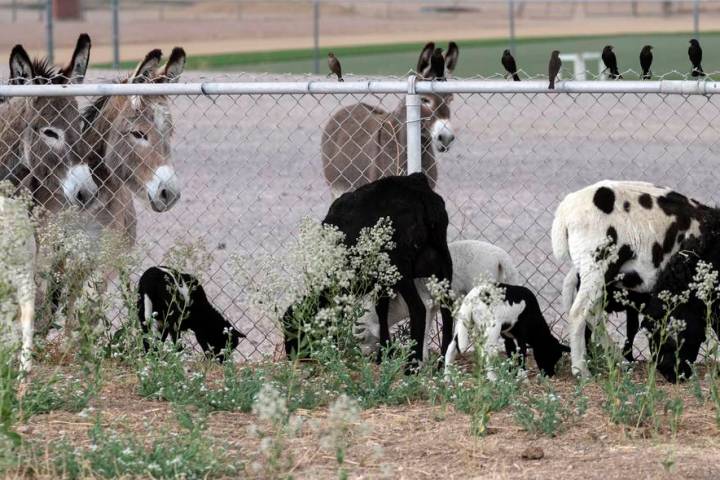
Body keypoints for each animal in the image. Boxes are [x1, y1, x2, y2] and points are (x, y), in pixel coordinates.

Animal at [352, 240, 516, 356]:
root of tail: (501, 256)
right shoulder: (432, 308)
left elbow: (423, 334)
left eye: (361, 338)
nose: (362, 355)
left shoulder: (424, 307)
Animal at [552, 178, 708, 380]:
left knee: (593, 315)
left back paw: (619, 360)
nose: (677, 376)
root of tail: (565, 211)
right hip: (596, 266)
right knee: (579, 313)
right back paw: (582, 371)